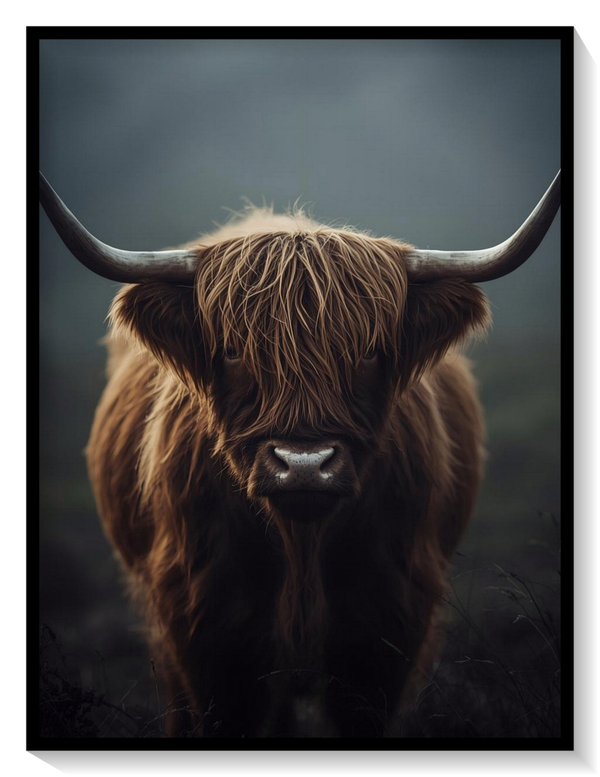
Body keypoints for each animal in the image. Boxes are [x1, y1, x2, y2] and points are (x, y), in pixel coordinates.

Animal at [39, 170, 560, 737]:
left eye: (369, 352)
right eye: (234, 351)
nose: (304, 465)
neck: (302, 545)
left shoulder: (387, 625)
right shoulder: (205, 627)